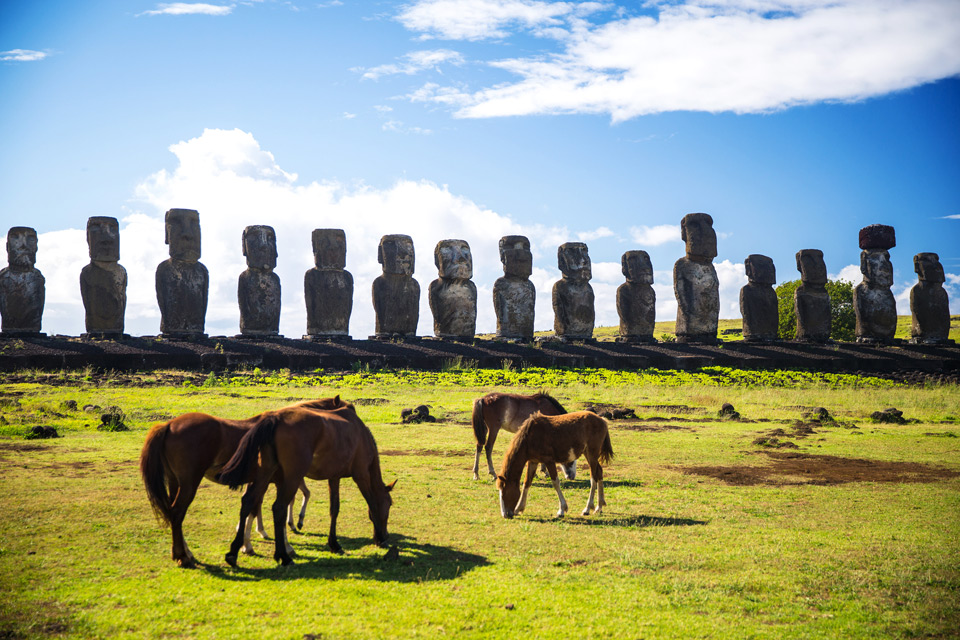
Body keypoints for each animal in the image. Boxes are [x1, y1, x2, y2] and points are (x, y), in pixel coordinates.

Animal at [137, 398, 344, 568]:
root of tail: (169, 425)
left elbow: (256, 508)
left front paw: (249, 543)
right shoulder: (280, 481)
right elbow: (274, 507)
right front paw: (280, 545)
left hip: (174, 482)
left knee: (174, 516)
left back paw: (183, 552)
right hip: (188, 484)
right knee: (177, 513)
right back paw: (183, 556)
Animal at [218, 400, 398, 564]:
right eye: (389, 504)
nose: (387, 535)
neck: (361, 434)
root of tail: (276, 418)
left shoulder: (334, 477)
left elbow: (334, 509)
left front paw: (334, 544)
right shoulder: (361, 476)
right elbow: (372, 505)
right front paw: (379, 538)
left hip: (265, 473)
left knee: (248, 501)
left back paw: (234, 551)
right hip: (292, 477)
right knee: (279, 508)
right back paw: (283, 555)